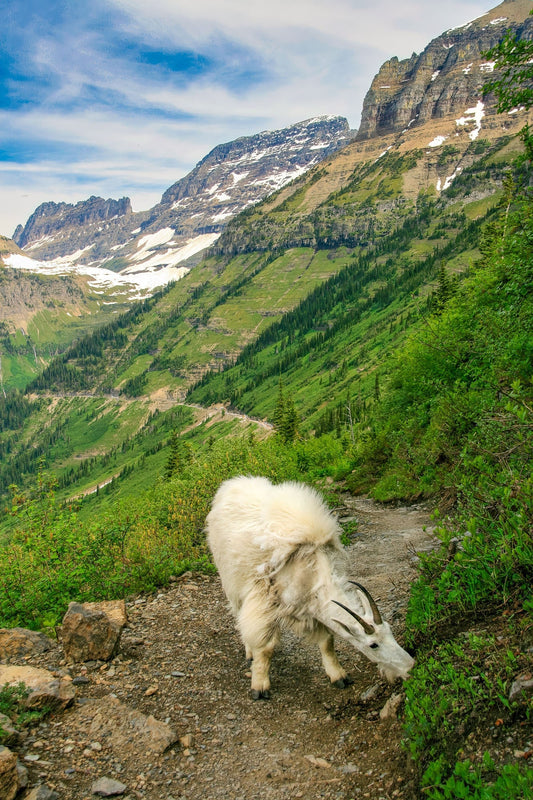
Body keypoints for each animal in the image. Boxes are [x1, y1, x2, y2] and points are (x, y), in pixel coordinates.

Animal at [206, 478, 414, 696]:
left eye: (390, 630)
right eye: (373, 645)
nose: (410, 666)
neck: (308, 570)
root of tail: (230, 485)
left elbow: (327, 642)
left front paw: (339, 676)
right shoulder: (265, 601)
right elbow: (265, 648)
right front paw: (260, 686)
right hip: (231, 581)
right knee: (239, 613)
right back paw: (249, 652)